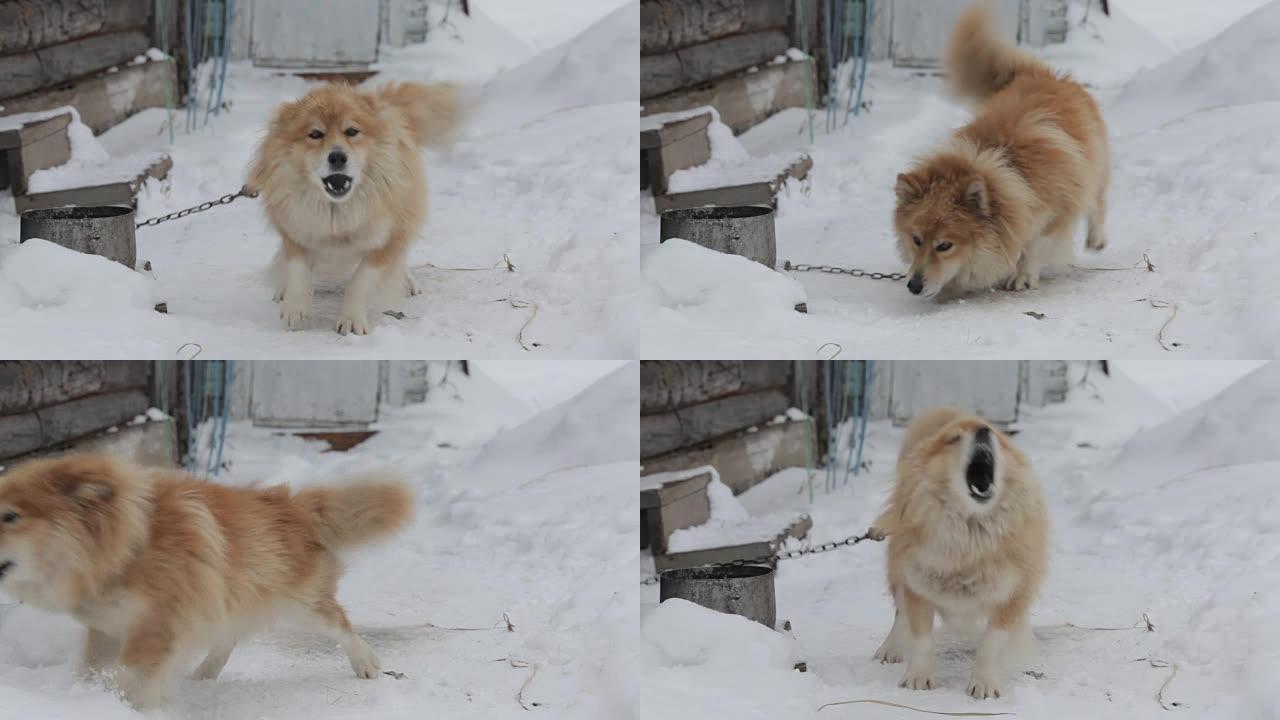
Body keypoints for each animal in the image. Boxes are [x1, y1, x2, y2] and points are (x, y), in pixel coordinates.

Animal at [0, 453, 412, 707]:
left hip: (300, 604)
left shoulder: (160, 626)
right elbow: (92, 667)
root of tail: (296, 506)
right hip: (227, 595)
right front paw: (86, 695)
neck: (127, 547)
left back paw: (367, 663)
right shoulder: (106, 626)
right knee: (227, 638)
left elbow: (130, 675)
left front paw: (119, 704)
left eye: (9, 516)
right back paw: (203, 674)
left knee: (340, 624)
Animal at [244, 79, 460, 333]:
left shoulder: (386, 238)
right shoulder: (295, 226)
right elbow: (298, 268)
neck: (337, 211)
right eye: (315, 134)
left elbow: (361, 280)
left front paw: (351, 319)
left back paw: (406, 282)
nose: (337, 156)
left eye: (352, 131)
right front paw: (294, 306)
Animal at [870, 407, 1049, 696]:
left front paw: (984, 683)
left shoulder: (1013, 594)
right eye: (954, 439)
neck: (969, 538)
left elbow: (991, 644)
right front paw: (918, 678)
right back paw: (891, 648)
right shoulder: (917, 586)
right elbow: (921, 638)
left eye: (994, 433)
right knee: (899, 614)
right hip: (897, 571)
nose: (983, 431)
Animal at [890, 2, 1111, 297]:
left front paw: (1023, 276)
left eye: (944, 245)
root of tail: (1036, 74)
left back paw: (1096, 239)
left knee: (1097, 202)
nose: (914, 286)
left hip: (1096, 168)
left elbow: (1034, 245)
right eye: (915, 239)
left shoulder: (1059, 211)